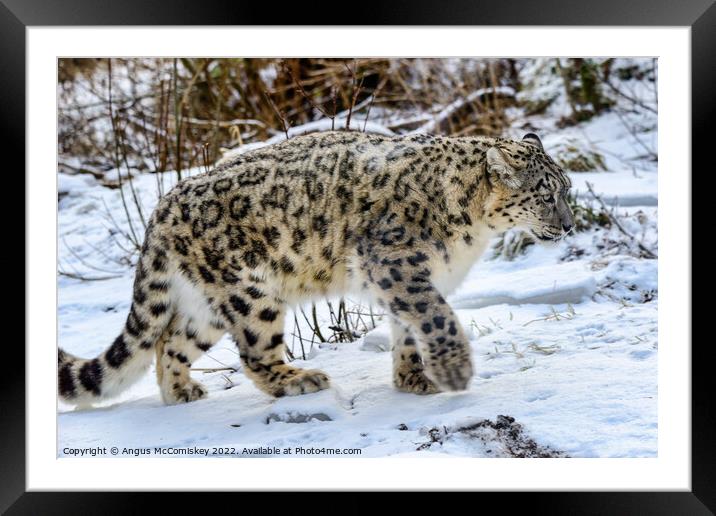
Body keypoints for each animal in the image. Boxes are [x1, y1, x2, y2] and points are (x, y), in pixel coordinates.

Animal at [60, 131, 576, 406]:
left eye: (567, 189)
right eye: (546, 194)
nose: (570, 225)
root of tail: (162, 205)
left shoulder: (411, 279)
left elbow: (410, 329)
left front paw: (414, 379)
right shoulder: (396, 265)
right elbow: (436, 317)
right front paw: (453, 372)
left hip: (205, 305)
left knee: (170, 341)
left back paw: (181, 392)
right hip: (251, 293)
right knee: (254, 354)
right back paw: (299, 380)